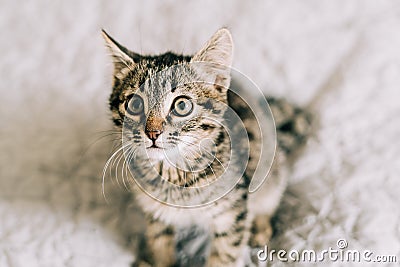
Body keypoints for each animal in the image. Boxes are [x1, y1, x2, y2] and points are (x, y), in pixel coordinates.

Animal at [101, 28, 310, 266]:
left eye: (181, 105)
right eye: (134, 104)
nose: (152, 133)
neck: (175, 175)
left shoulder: (232, 213)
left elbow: (224, 255)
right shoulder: (157, 216)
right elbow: (160, 246)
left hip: (270, 168)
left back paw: (261, 228)